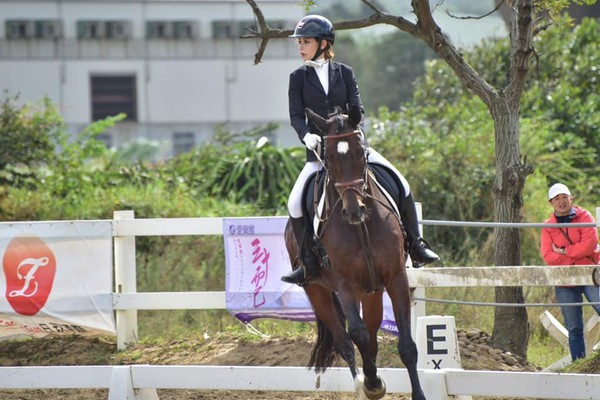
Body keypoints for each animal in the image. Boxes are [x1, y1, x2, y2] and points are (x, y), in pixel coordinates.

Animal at [284, 104, 424, 398]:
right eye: (328, 157)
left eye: (361, 152)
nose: (353, 211)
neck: (362, 229)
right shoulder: (345, 283)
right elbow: (357, 334)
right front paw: (372, 383)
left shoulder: (396, 278)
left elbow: (406, 345)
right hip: (317, 289)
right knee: (345, 342)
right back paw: (363, 382)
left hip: (371, 292)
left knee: (370, 338)